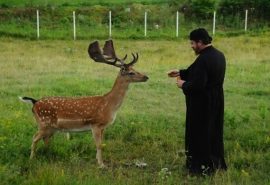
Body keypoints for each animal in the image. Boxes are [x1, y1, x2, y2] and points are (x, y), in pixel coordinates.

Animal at [20, 40, 149, 168]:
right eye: (131, 72)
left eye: (135, 69)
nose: (146, 77)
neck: (109, 105)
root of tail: (34, 102)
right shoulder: (96, 124)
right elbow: (98, 145)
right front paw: (101, 165)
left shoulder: (103, 127)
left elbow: (102, 144)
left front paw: (98, 160)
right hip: (43, 123)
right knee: (34, 138)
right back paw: (31, 159)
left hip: (51, 127)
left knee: (45, 139)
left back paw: (49, 155)